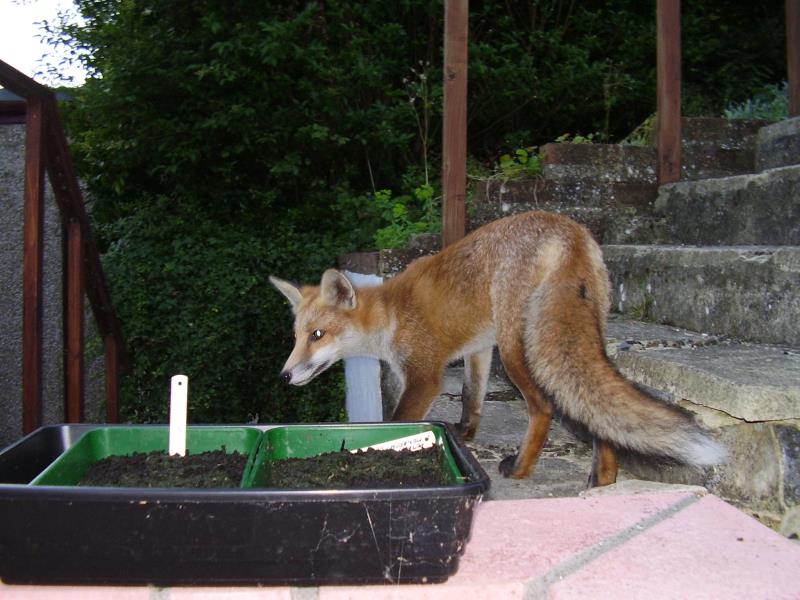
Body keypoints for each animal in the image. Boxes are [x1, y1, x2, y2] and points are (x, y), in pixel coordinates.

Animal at [268, 209, 724, 486]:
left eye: (317, 335)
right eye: (296, 336)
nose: (284, 375)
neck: (390, 313)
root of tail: (564, 228)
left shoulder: (425, 376)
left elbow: (399, 421)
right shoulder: (478, 350)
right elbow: (473, 399)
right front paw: (463, 435)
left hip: (515, 347)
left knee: (544, 406)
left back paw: (521, 467)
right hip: (577, 332)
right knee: (594, 406)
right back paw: (603, 478)